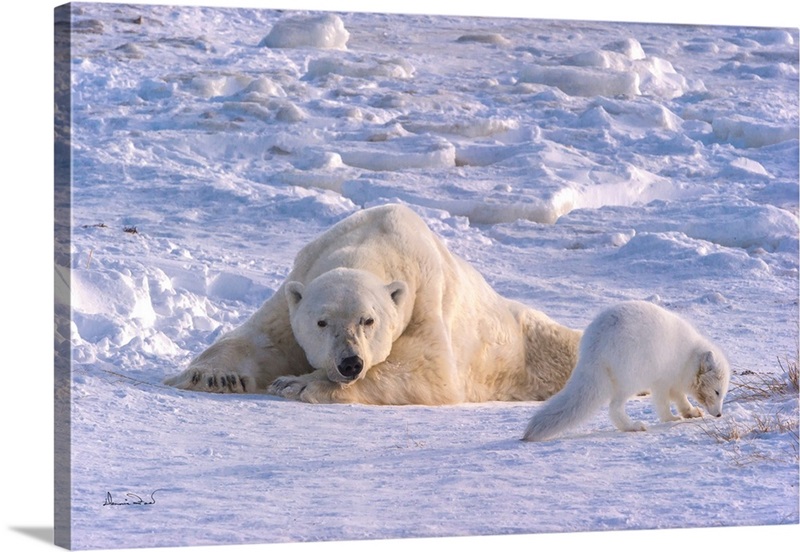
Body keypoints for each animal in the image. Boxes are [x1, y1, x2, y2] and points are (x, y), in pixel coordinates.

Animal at [162, 205, 580, 404]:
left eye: (369, 320)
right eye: (322, 322)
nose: (350, 363)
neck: (373, 243)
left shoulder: (422, 298)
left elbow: (429, 372)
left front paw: (297, 383)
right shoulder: (298, 283)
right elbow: (266, 338)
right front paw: (213, 376)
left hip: (530, 346)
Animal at [520, 300, 728, 442]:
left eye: (723, 394)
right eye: (717, 392)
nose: (719, 415)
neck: (688, 358)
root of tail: (595, 346)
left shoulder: (674, 382)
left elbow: (681, 399)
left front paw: (691, 412)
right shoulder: (662, 381)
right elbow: (663, 404)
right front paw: (670, 418)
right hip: (632, 380)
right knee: (614, 408)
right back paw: (632, 427)